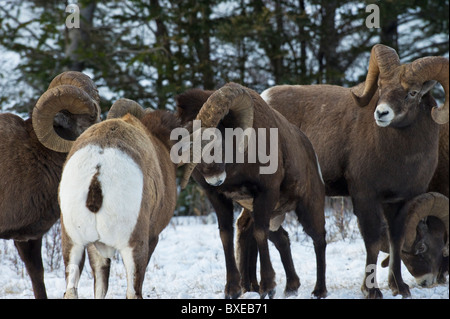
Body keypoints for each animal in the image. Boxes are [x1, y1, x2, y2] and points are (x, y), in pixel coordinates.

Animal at [59, 99, 178, 300]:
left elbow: (100, 287)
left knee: (71, 289)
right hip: (133, 247)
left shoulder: (95, 248)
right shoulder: (152, 237)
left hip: (73, 243)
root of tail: (98, 169)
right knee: (132, 292)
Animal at [176, 82, 326, 300]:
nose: (214, 178)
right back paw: (291, 288)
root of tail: (310, 150)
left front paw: (268, 288)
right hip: (268, 215)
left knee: (319, 239)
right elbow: (226, 235)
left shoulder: (266, 193)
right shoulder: (218, 197)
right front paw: (233, 290)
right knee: (282, 239)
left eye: (217, 137)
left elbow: (259, 234)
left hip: (308, 208)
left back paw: (319, 291)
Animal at [243, 43, 450, 298]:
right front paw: (372, 291)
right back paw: (251, 288)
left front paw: (401, 288)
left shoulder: (401, 201)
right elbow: (372, 241)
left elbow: (396, 240)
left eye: (412, 93)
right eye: (381, 87)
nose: (381, 113)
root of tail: (263, 101)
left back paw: (263, 287)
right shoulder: (365, 196)